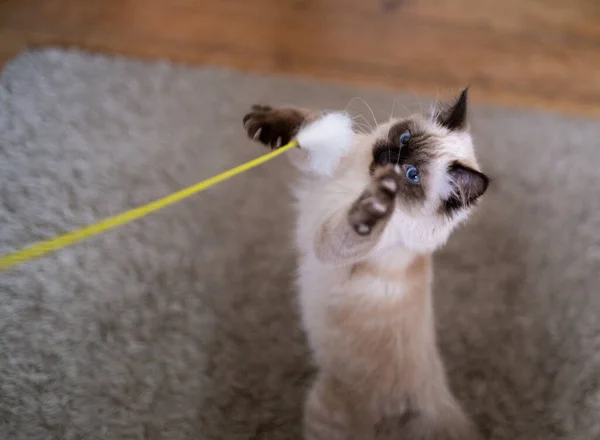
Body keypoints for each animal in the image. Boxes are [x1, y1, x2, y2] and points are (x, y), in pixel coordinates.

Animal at [244, 90, 488, 440]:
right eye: (404, 138)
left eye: (411, 175)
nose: (388, 157)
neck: (361, 182)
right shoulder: (327, 165)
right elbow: (304, 123)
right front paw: (263, 121)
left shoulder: (330, 244)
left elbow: (355, 226)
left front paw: (373, 208)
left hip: (320, 407)